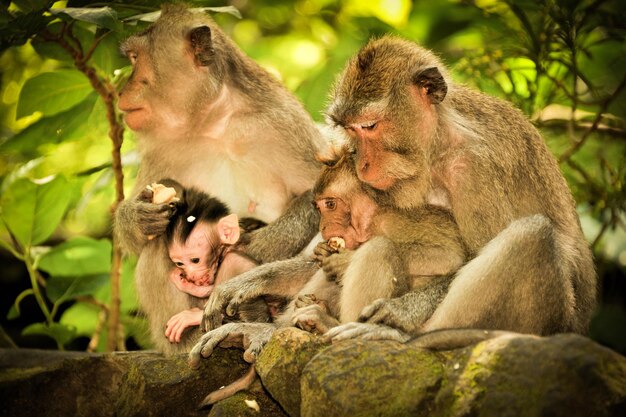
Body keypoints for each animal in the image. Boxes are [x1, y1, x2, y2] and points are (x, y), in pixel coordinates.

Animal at [112, 4, 324, 352]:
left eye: (134, 58)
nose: (122, 89)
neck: (212, 120)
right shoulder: (161, 149)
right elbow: (139, 236)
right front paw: (138, 215)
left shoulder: (281, 120)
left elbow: (321, 194)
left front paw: (254, 244)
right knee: (158, 246)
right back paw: (186, 338)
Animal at [322, 34, 596, 342]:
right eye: (349, 129)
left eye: (370, 126)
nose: (363, 164)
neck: (436, 147)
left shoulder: (473, 168)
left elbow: (468, 254)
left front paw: (397, 309)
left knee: (533, 236)